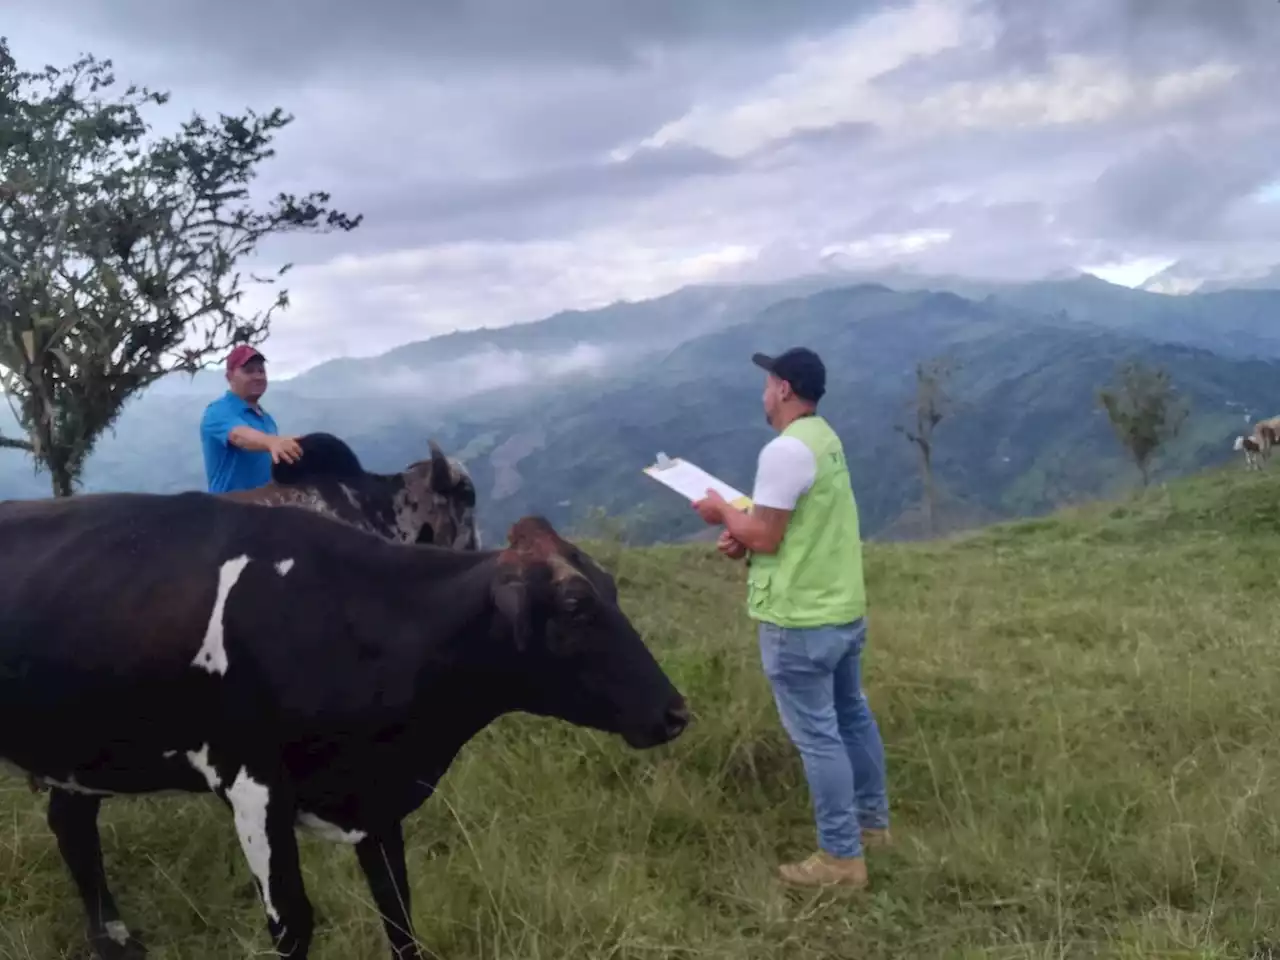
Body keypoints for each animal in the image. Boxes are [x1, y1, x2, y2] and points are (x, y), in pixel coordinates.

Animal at [0, 496, 691, 960]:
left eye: (611, 589)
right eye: (576, 606)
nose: (675, 712)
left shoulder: (377, 800)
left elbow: (399, 913)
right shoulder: (252, 784)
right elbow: (294, 925)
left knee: (71, 826)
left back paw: (112, 939)